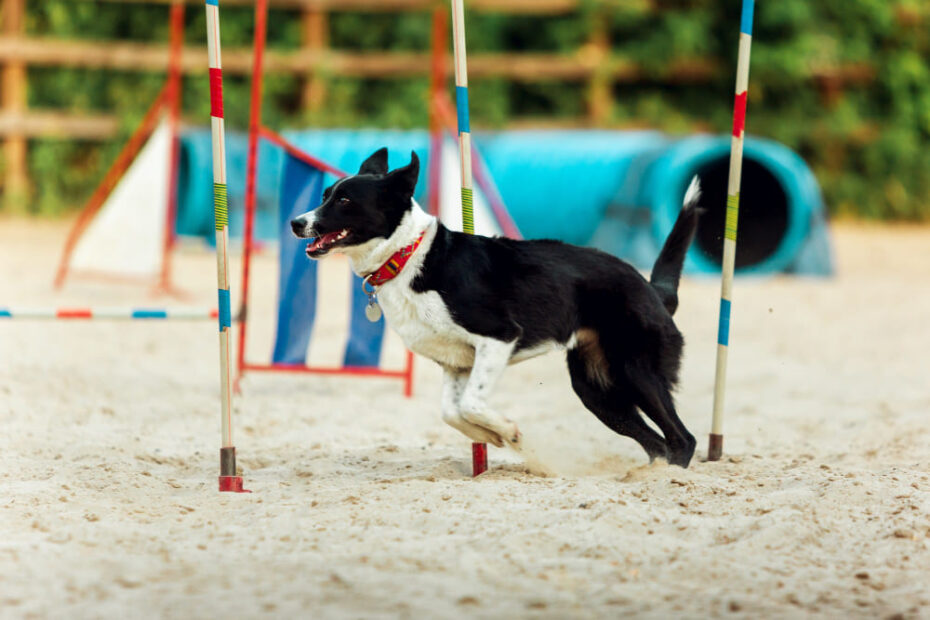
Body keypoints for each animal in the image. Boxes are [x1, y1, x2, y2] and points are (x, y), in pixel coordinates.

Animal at [294, 150, 700, 468]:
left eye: (345, 201)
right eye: (326, 194)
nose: (296, 223)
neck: (408, 256)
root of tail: (652, 289)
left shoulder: (499, 338)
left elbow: (471, 402)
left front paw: (509, 432)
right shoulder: (457, 363)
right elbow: (452, 411)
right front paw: (489, 436)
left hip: (638, 372)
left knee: (683, 439)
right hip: (597, 392)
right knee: (657, 442)